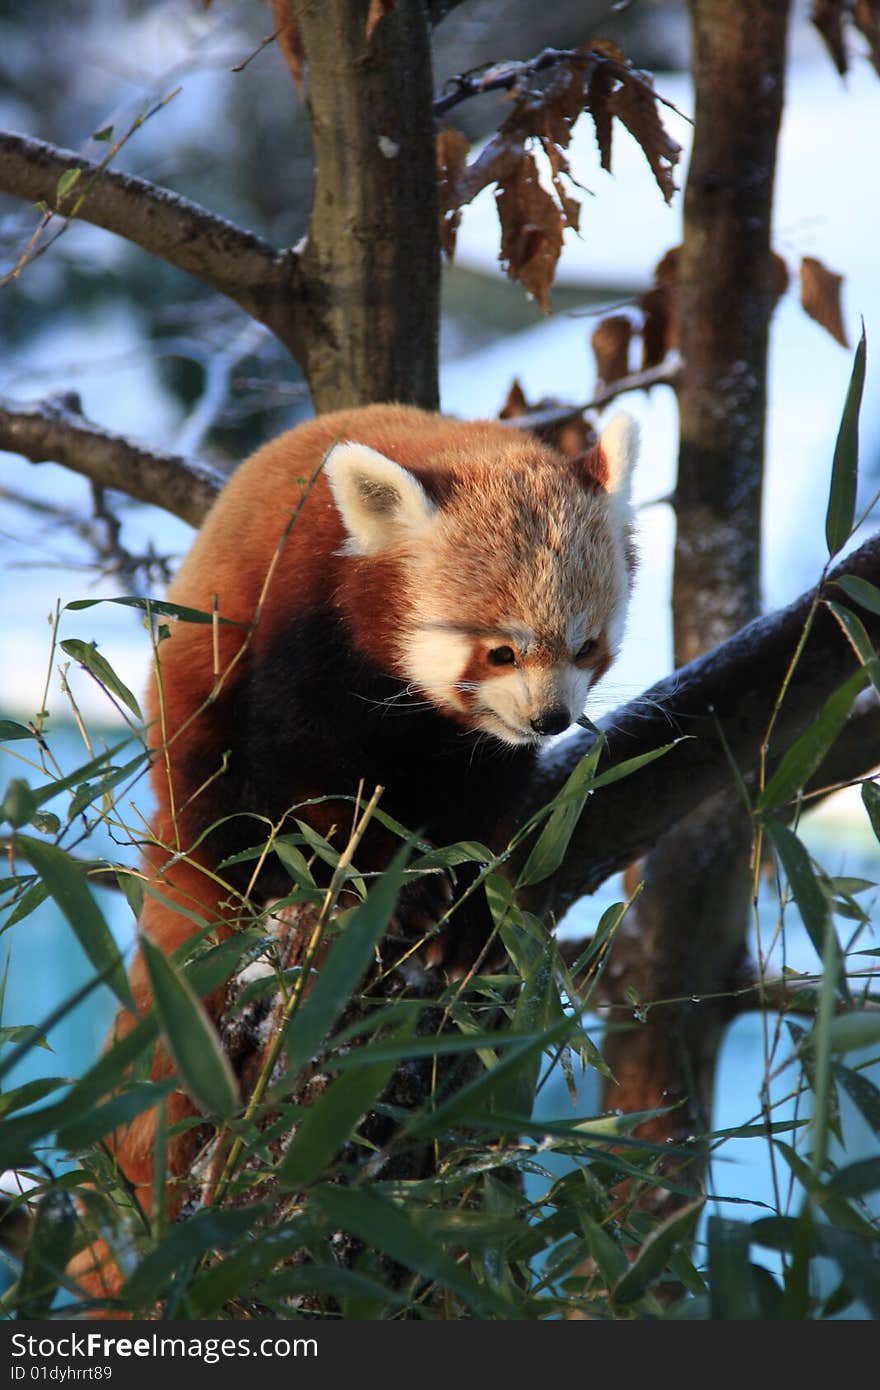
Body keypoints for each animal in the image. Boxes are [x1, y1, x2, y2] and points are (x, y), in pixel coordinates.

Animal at [82, 405, 639, 1301]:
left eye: (586, 646)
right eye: (500, 651)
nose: (550, 719)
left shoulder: (473, 753)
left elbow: (479, 813)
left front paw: (466, 909)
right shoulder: (300, 632)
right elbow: (304, 789)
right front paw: (370, 885)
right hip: (193, 760)